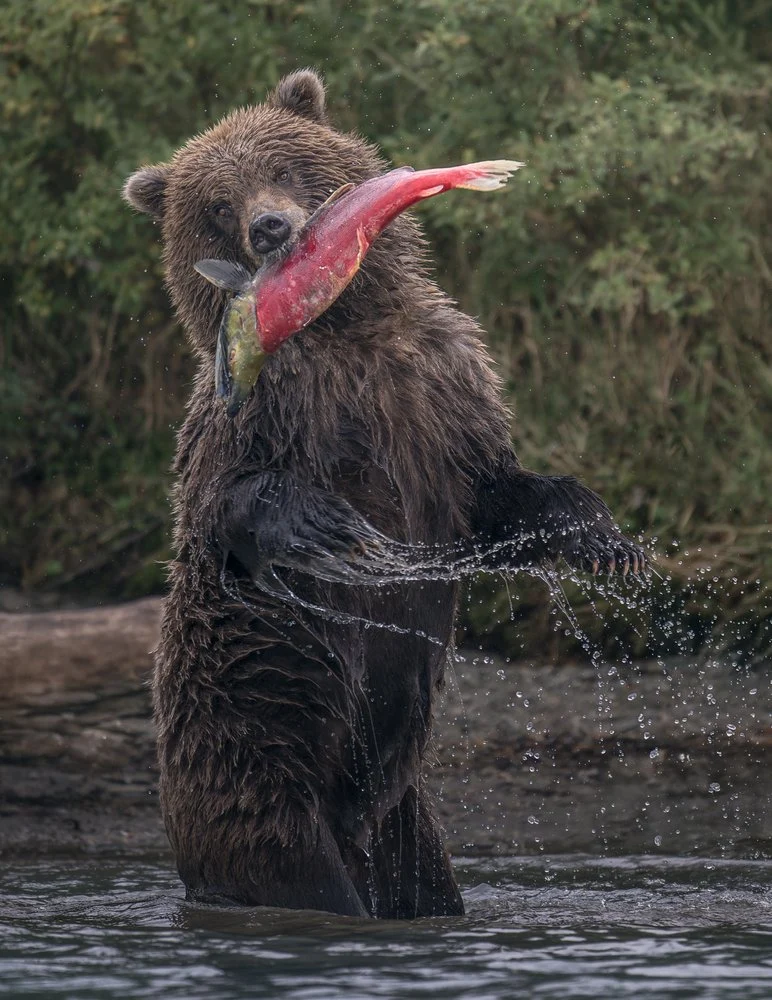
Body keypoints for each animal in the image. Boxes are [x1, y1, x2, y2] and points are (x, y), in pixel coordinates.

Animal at [123, 69, 645, 918]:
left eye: (284, 165)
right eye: (217, 205)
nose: (270, 227)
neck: (341, 331)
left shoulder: (439, 396)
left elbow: (498, 492)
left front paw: (604, 541)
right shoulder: (260, 413)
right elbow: (224, 504)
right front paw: (335, 528)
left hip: (404, 818)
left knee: (425, 877)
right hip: (260, 764)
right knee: (295, 865)